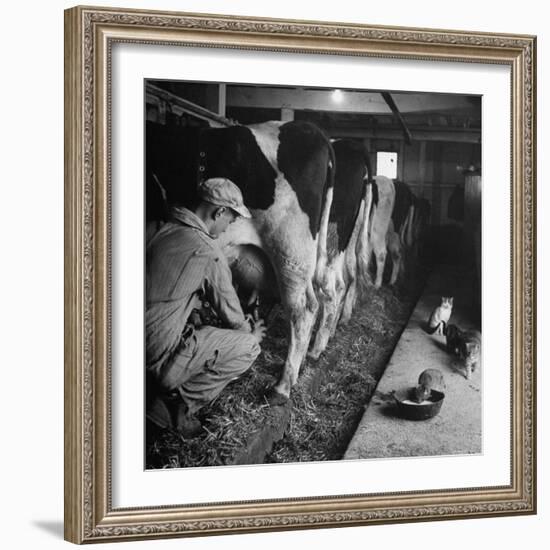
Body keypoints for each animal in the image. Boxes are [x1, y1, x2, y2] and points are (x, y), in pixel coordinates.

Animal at [148, 122, 336, 406]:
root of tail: (313, 129)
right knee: (327, 291)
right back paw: (305, 361)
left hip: (290, 250)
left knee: (303, 308)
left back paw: (282, 386)